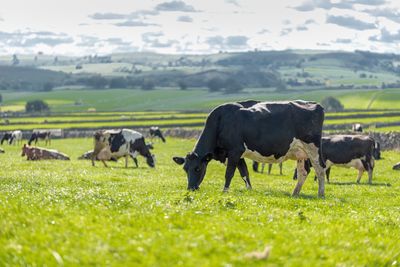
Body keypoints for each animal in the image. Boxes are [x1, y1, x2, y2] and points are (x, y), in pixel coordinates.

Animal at [173, 99, 326, 198]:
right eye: (185, 169)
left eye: (198, 168)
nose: (191, 188)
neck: (220, 121)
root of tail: (315, 104)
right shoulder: (237, 154)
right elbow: (244, 173)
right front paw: (250, 191)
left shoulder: (234, 151)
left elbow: (229, 173)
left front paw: (224, 191)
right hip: (300, 152)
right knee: (303, 173)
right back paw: (295, 193)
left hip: (313, 147)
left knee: (320, 169)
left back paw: (321, 194)